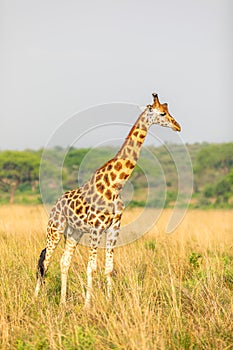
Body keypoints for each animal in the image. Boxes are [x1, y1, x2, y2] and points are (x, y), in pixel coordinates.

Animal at [34, 93, 181, 306]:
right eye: (162, 113)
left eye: (169, 111)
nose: (178, 126)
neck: (115, 186)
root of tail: (56, 204)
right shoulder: (96, 229)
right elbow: (91, 268)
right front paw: (87, 305)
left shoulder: (114, 228)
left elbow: (109, 268)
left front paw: (110, 301)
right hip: (55, 228)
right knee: (45, 261)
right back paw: (36, 298)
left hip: (74, 232)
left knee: (64, 261)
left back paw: (62, 302)